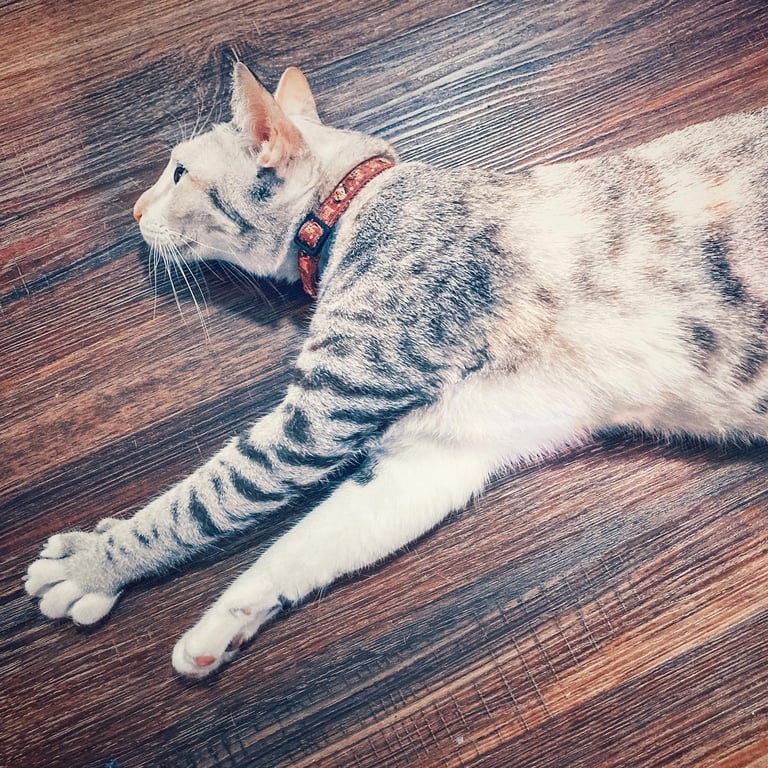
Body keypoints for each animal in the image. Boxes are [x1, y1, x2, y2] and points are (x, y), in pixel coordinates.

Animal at [25, 62, 768, 678]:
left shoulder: (323, 409)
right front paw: (218, 628)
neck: (350, 207)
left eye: (177, 173)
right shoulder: (437, 454)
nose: (133, 211)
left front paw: (93, 566)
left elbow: (203, 500)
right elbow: (299, 548)